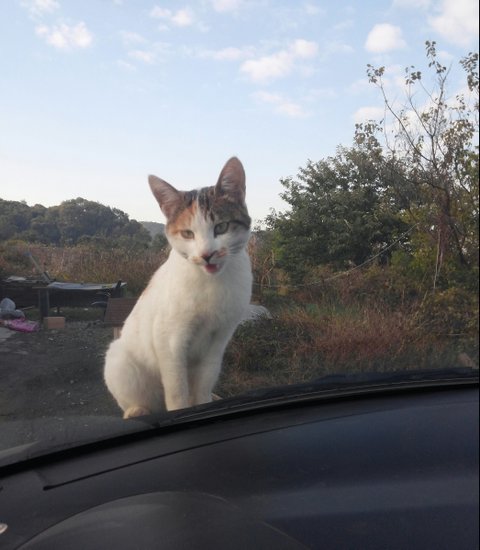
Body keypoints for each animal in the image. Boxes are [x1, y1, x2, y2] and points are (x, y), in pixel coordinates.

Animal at [104, 157, 252, 418]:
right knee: (140, 398)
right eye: (187, 233)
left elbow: (205, 379)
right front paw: (180, 411)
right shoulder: (169, 341)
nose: (207, 254)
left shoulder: (220, 338)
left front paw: (204, 402)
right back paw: (137, 410)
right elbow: (175, 388)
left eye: (221, 227)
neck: (210, 282)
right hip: (120, 360)